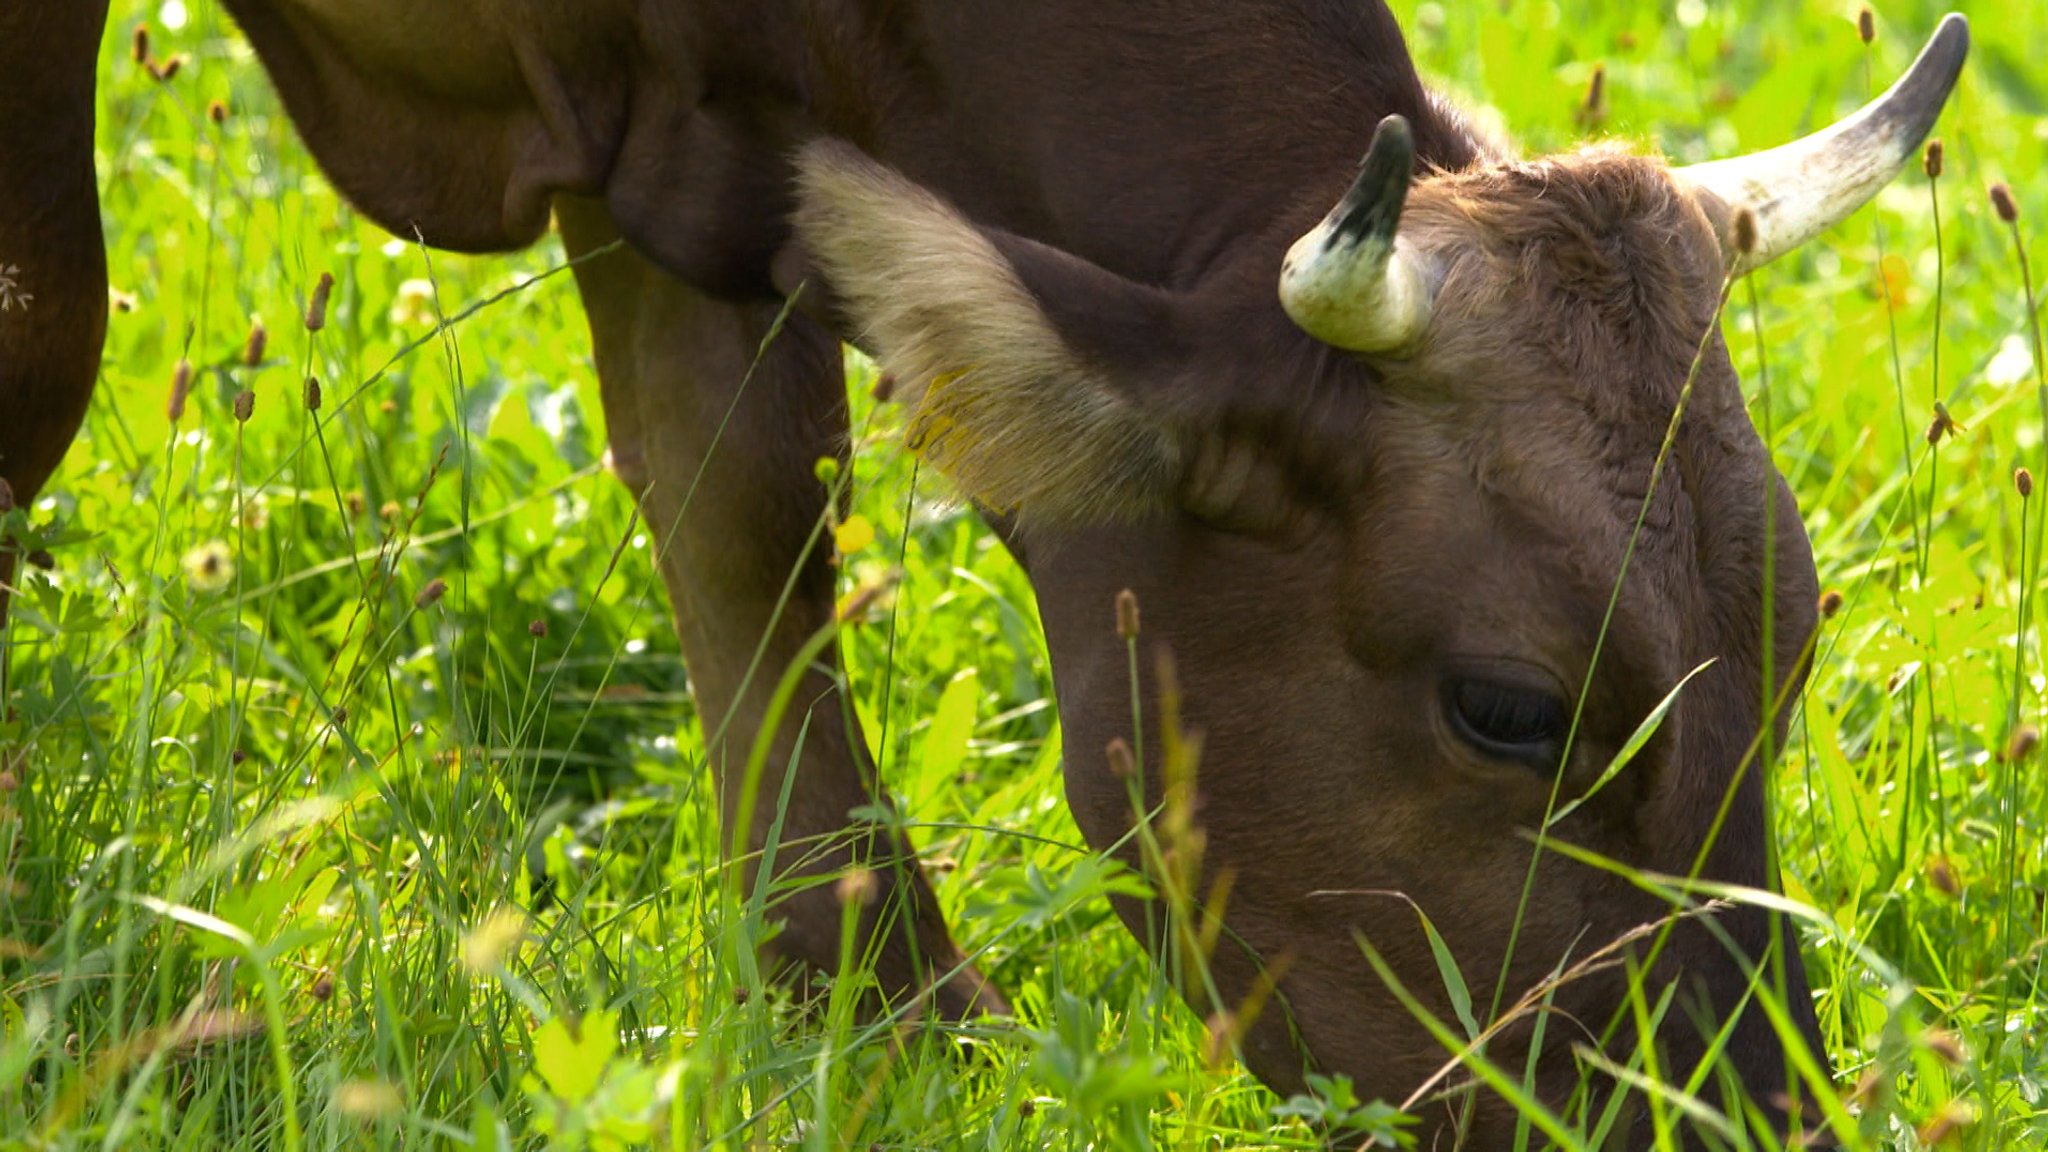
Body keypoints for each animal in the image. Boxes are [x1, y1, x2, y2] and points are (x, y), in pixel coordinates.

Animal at [8, 2, 1974, 1139]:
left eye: (1795, 645)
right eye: (1505, 705)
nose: (1756, 1129)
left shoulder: (689, 129)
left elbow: (738, 497)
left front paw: (872, 1009)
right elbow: (43, 338)